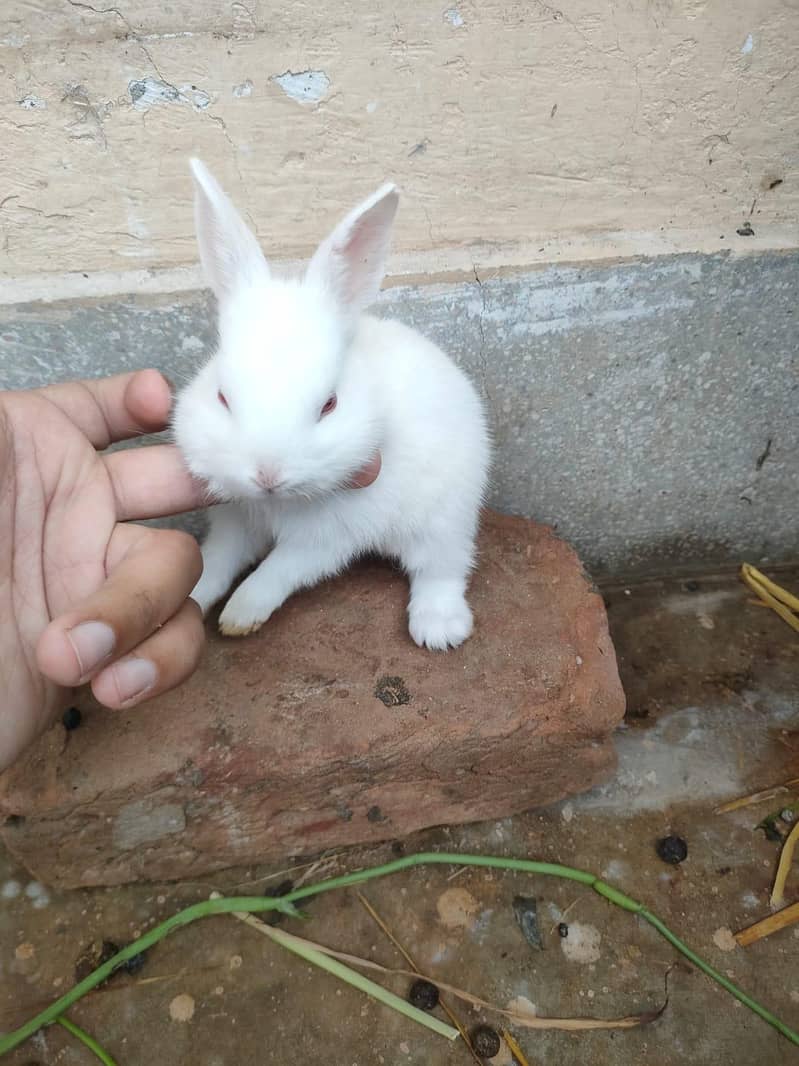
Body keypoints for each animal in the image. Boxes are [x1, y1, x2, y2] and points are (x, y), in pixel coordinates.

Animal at [172, 159, 490, 650]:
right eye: (221, 397)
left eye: (329, 404)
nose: (267, 474)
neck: (277, 505)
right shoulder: (234, 520)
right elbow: (217, 560)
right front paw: (192, 595)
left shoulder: (326, 539)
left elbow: (277, 571)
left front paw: (241, 614)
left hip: (446, 518)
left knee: (442, 569)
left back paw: (439, 630)